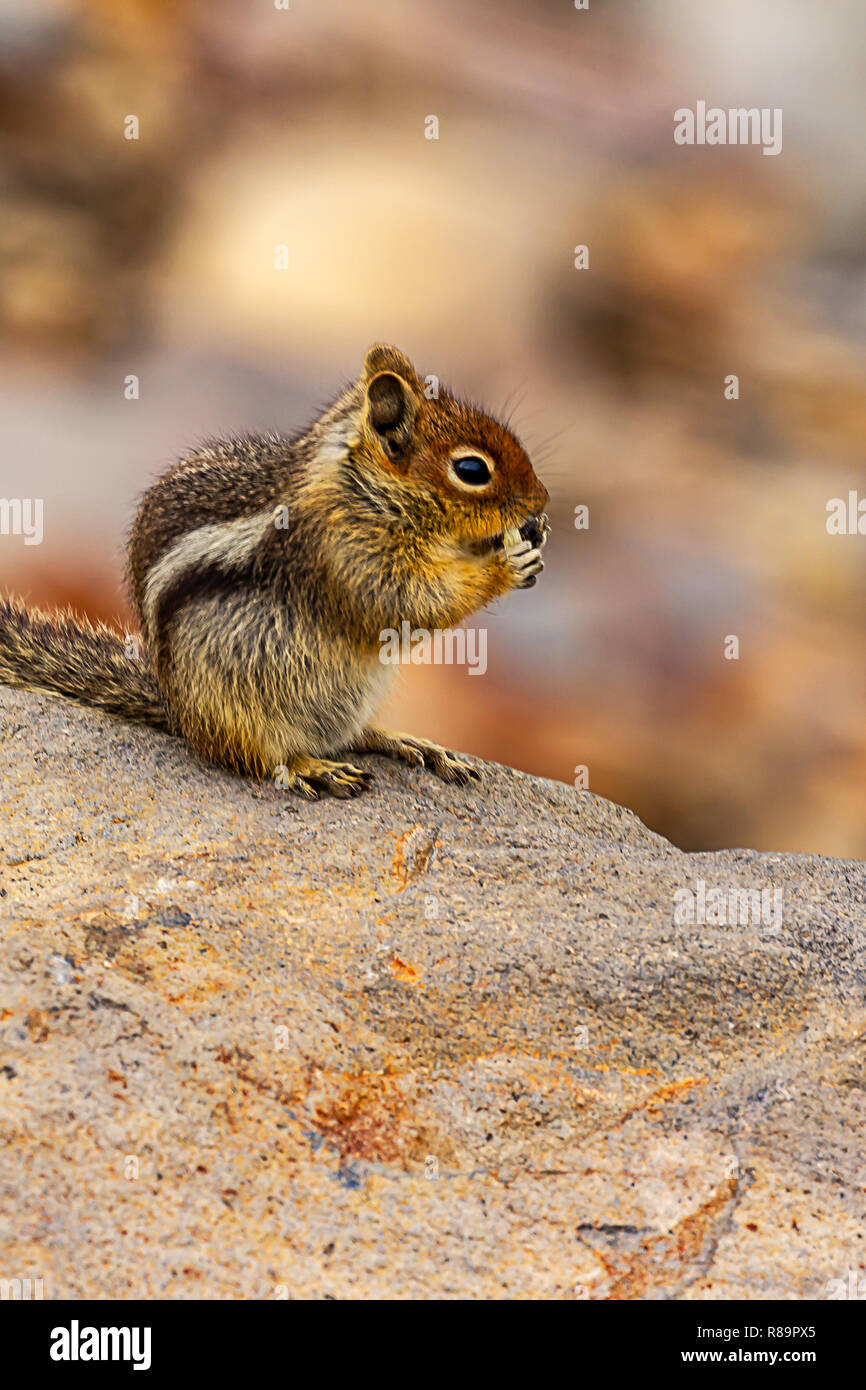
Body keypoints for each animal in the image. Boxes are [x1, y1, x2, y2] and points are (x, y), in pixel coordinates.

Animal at [0, 345, 549, 798]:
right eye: (472, 470)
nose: (542, 501)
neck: (361, 486)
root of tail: (177, 714)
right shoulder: (344, 554)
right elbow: (408, 601)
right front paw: (505, 563)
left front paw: (529, 541)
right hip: (235, 709)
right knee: (261, 759)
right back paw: (312, 767)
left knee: (352, 734)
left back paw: (407, 742)